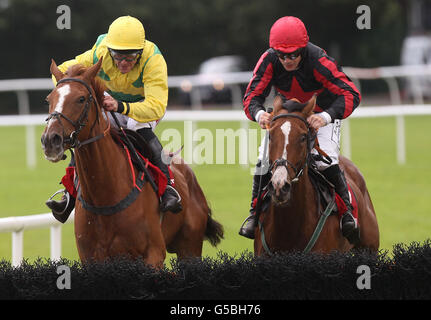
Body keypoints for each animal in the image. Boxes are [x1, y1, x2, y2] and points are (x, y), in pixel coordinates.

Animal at [41, 58, 224, 266]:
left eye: (80, 99)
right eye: (49, 99)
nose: (50, 140)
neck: (104, 196)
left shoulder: (153, 255)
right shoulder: (90, 257)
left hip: (189, 248)